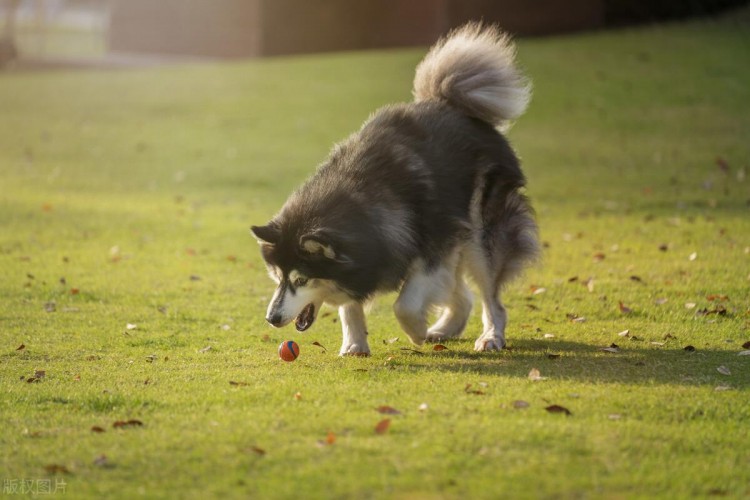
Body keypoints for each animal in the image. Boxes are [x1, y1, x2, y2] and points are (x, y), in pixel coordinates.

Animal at [253, 22, 540, 356]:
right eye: (278, 277)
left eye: (301, 280)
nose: (271, 318)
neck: (362, 202)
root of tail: (450, 103)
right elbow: (350, 305)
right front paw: (355, 343)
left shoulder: (433, 247)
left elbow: (404, 305)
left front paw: (417, 332)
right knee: (464, 296)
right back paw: (445, 329)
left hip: (480, 234)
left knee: (491, 297)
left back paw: (490, 335)